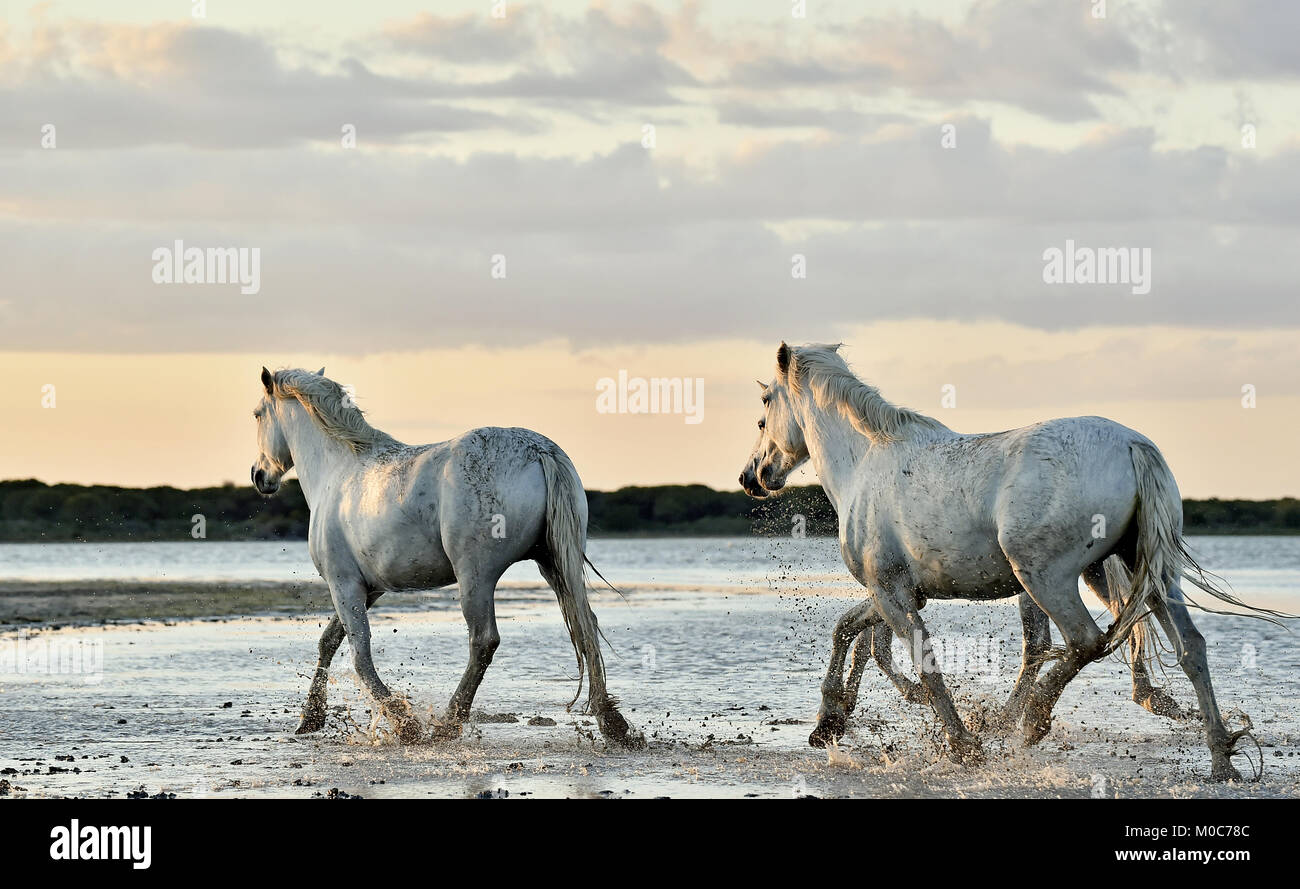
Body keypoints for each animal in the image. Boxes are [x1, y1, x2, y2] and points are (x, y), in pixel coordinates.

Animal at [250, 366, 642, 748]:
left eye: (257, 414)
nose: (259, 476)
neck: (338, 470)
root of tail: (538, 450)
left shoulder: (343, 583)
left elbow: (359, 654)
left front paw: (404, 724)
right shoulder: (370, 587)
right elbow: (330, 641)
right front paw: (310, 719)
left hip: (476, 576)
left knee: (484, 641)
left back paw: (448, 724)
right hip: (555, 564)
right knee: (585, 625)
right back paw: (611, 722)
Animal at [740, 342, 1284, 781]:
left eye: (765, 406)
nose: (753, 476)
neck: (864, 463)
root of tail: (1134, 444)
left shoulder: (891, 591)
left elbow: (918, 661)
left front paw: (964, 746)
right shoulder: (900, 592)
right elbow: (849, 631)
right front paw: (829, 722)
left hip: (1046, 578)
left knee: (1083, 642)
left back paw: (1030, 720)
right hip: (1148, 575)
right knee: (1190, 648)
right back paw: (1221, 760)